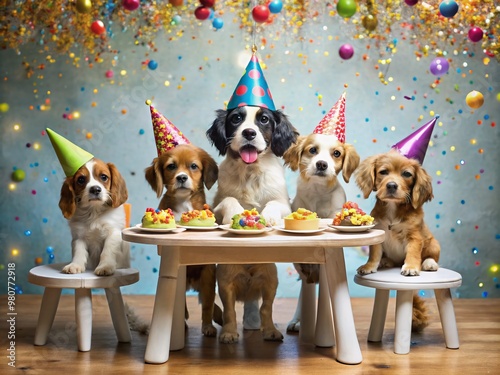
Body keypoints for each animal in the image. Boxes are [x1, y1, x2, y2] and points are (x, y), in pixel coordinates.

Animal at [146, 144, 222, 338]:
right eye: (171, 166)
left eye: (193, 166)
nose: (181, 177)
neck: (183, 203)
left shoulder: (208, 271)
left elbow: (208, 306)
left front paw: (208, 326)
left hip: (206, 280)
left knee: (208, 304)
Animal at [206, 105, 298, 344]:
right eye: (236, 119)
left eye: (264, 119)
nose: (249, 133)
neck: (250, 172)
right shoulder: (216, 206)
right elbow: (229, 201)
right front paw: (236, 214)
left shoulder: (285, 204)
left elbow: (274, 204)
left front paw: (269, 218)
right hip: (226, 277)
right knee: (231, 309)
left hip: (270, 277)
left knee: (264, 307)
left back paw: (267, 330)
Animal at [354, 150, 440, 332]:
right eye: (383, 172)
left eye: (407, 174)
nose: (392, 185)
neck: (393, 208)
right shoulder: (379, 234)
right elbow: (374, 254)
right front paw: (370, 266)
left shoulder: (415, 237)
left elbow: (413, 254)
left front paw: (411, 267)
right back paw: (385, 261)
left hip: (434, 243)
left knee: (431, 257)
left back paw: (429, 264)